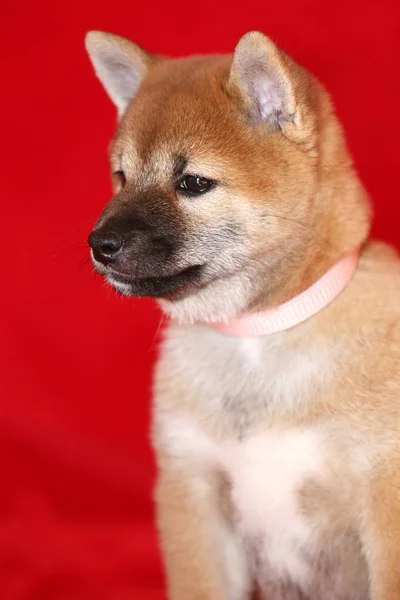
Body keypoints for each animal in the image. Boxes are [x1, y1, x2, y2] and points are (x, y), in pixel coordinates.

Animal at [84, 29, 400, 600]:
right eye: (121, 176)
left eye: (193, 183)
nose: (99, 245)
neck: (256, 336)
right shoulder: (194, 491)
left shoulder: (383, 504)